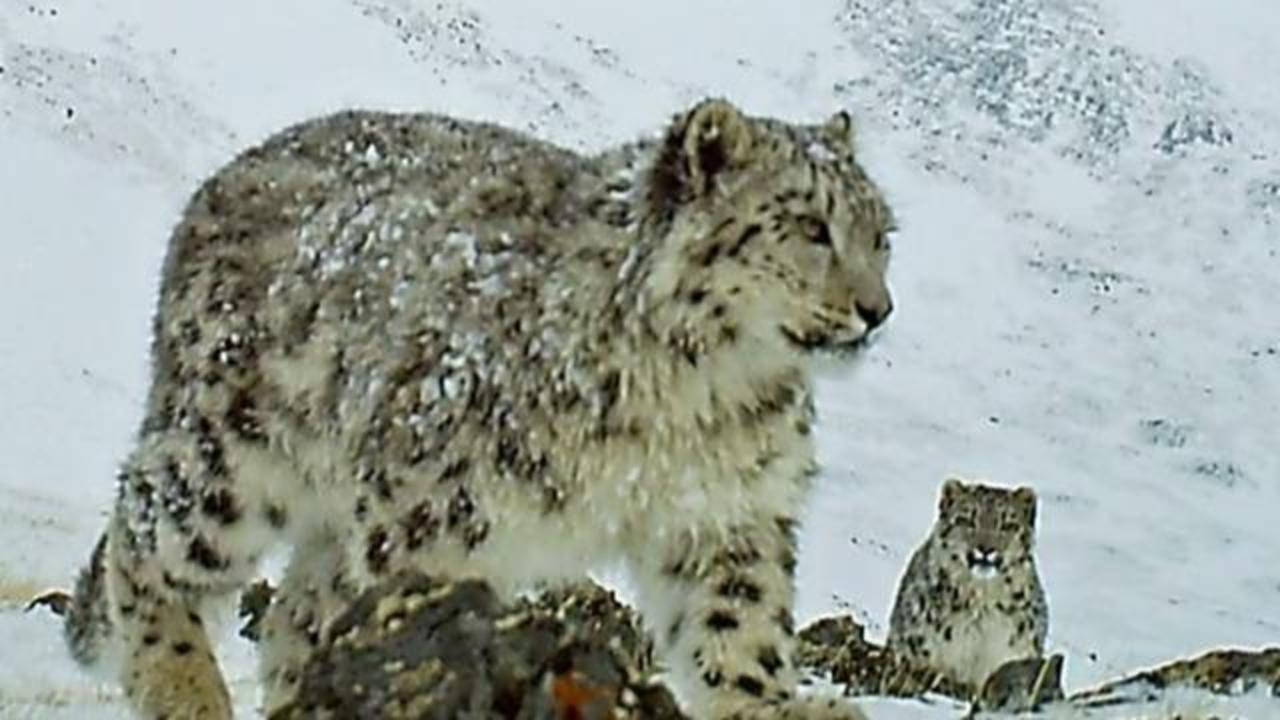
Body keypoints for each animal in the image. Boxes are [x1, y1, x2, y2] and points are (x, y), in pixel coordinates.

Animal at [62, 96, 901, 717]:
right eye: (810, 225)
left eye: (882, 235)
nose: (877, 309)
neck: (702, 395)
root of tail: (214, 188)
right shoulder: (430, 515)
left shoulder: (728, 514)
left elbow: (738, 627)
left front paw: (768, 704)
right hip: (231, 457)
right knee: (145, 535)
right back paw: (186, 692)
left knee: (294, 615)